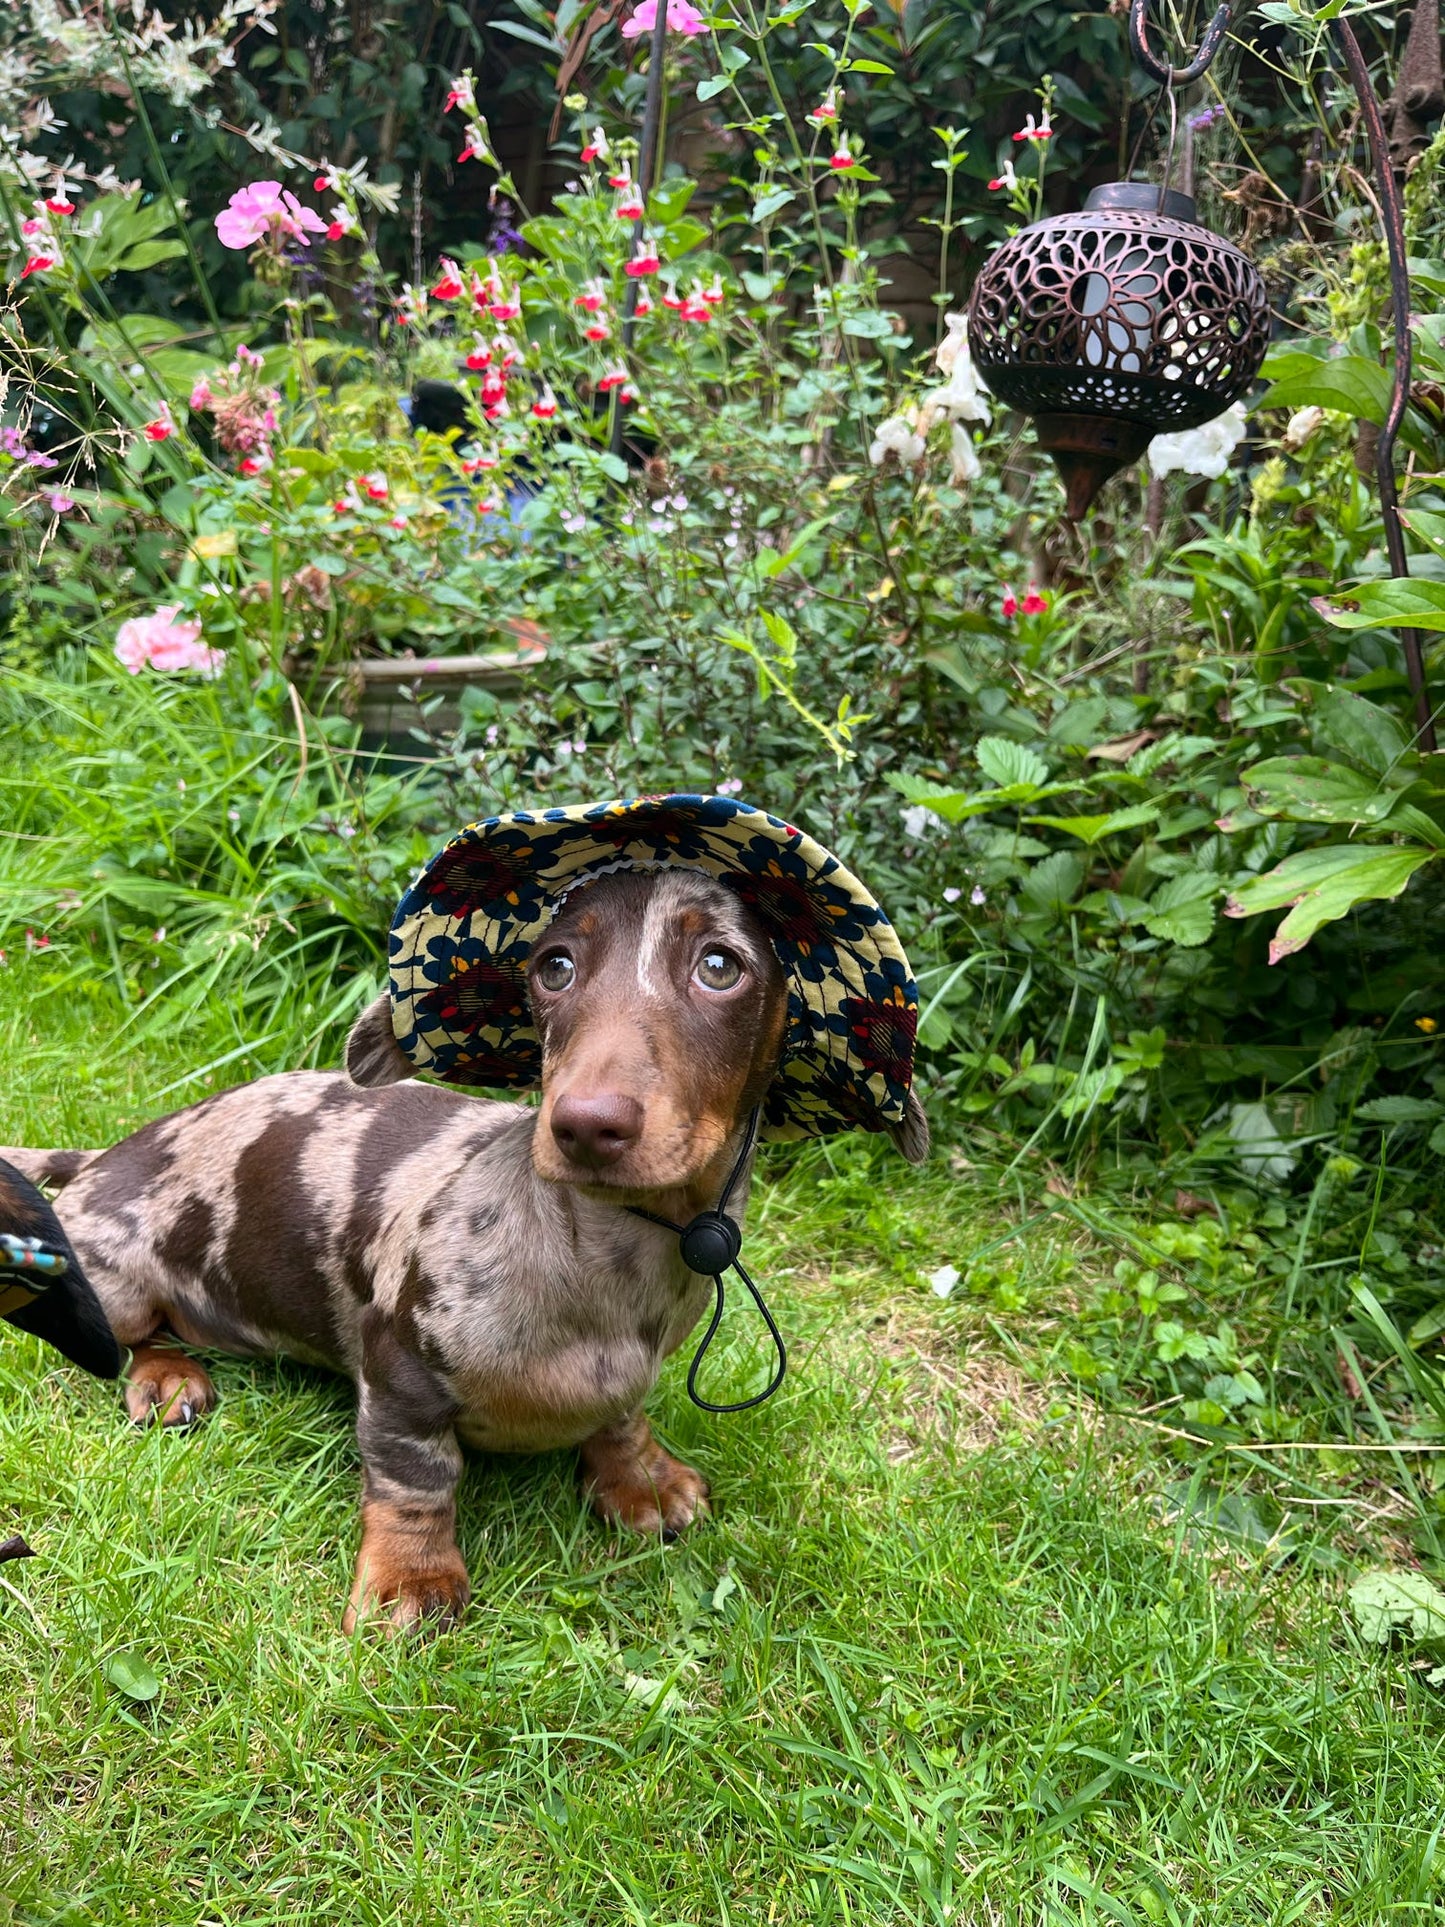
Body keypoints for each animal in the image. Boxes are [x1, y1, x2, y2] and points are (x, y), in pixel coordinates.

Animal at [2, 874, 928, 1626]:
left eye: (719, 964)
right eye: (553, 967)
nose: (584, 1123)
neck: (612, 1250)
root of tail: (101, 1155)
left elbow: (622, 1415)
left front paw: (641, 1477)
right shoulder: (400, 1376)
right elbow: (417, 1481)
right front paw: (410, 1580)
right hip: (113, 1277)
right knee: (126, 1337)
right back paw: (167, 1379)